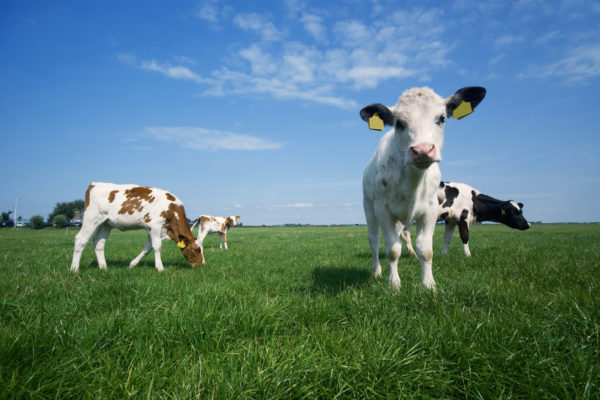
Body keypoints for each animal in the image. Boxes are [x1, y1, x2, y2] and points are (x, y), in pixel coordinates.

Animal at [360, 86, 482, 290]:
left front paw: (429, 284)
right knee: (374, 240)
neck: (412, 182)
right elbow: (393, 249)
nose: (422, 150)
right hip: (369, 208)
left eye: (441, 118)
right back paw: (376, 270)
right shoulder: (383, 210)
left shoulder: (430, 211)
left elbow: (426, 250)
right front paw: (394, 283)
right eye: (398, 123)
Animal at [400, 181, 532, 256]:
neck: (472, 199)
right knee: (404, 234)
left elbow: (447, 238)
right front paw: (468, 255)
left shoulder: (450, 220)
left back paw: (413, 254)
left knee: (404, 234)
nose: (528, 224)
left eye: (521, 211)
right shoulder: (463, 218)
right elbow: (465, 237)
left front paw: (444, 254)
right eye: (514, 212)